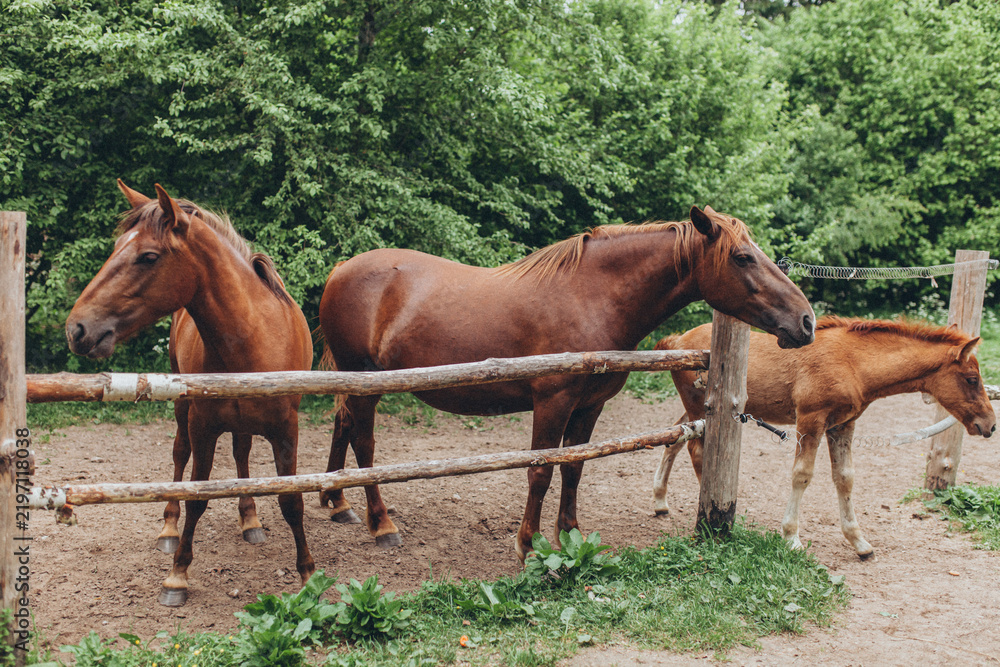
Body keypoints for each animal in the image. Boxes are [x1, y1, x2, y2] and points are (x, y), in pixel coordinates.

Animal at [65, 181, 315, 606]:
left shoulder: (286, 430)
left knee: (242, 455)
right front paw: (177, 575)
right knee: (180, 456)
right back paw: (169, 528)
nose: (77, 328)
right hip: (183, 409)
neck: (252, 338)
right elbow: (196, 496)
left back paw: (249, 518)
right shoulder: (202, 426)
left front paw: (308, 574)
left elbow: (291, 500)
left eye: (148, 256)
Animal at [317, 205, 816, 561]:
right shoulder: (552, 402)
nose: (806, 321)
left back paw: (336, 503)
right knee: (365, 445)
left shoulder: (588, 406)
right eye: (743, 257)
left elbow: (574, 467)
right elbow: (541, 470)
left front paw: (570, 535)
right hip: (366, 384)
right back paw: (381, 525)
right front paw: (528, 545)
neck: (591, 298)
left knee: (343, 426)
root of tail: (342, 268)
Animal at [652, 316, 997, 558]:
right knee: (696, 451)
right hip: (700, 407)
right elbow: (802, 475)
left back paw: (660, 500)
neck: (854, 363)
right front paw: (791, 537)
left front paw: (859, 542)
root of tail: (677, 339)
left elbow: (844, 478)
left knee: (675, 437)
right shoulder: (810, 419)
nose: (990, 425)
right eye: (972, 379)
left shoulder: (842, 425)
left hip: (695, 410)